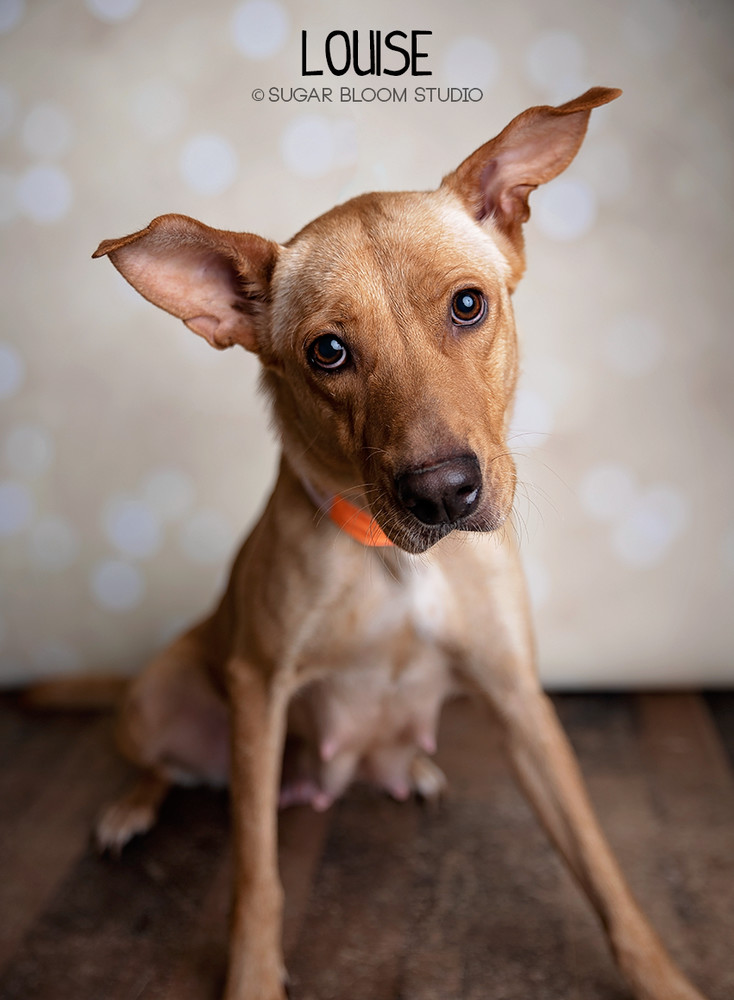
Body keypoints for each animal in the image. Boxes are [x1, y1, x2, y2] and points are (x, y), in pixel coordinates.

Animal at [85, 88, 708, 1000]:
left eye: (467, 305)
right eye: (328, 352)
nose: (444, 493)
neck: (395, 561)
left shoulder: (518, 698)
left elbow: (600, 867)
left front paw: (660, 975)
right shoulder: (260, 689)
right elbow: (256, 878)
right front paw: (252, 975)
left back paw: (412, 770)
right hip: (157, 700)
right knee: (165, 767)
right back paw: (129, 805)